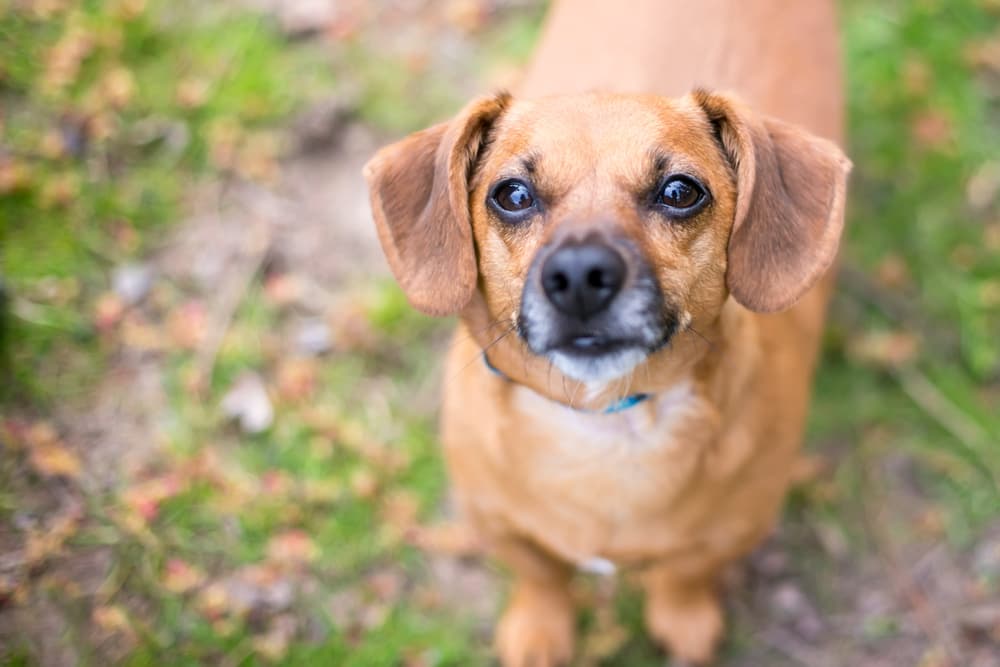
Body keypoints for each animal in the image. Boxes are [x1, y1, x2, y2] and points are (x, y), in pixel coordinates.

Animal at [364, 0, 848, 664]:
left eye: (680, 192)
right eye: (511, 194)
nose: (578, 276)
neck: (604, 426)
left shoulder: (737, 528)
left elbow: (684, 573)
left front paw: (683, 620)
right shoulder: (495, 522)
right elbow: (540, 574)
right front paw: (540, 631)